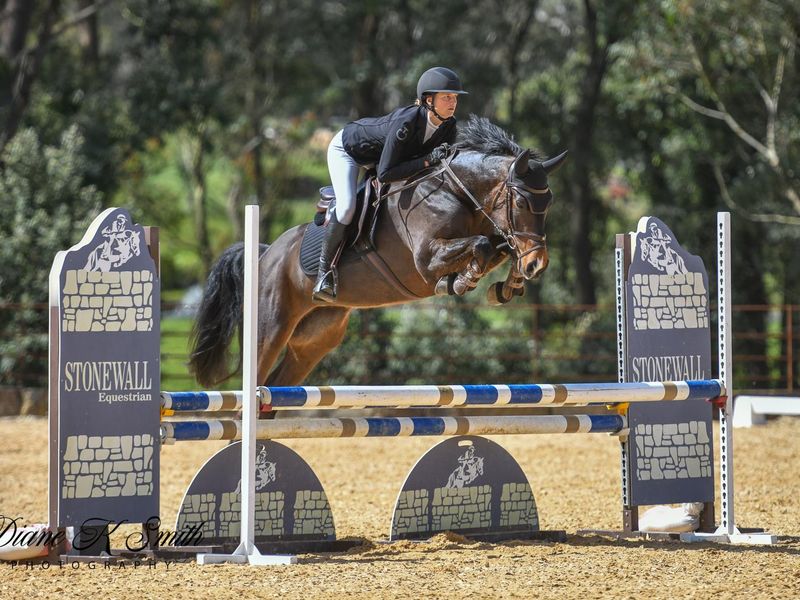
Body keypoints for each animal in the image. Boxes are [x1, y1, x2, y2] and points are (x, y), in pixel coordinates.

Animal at [188, 116, 566, 388]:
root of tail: (265, 255)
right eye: (521, 202)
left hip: (315, 339)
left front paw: (508, 286)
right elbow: (483, 246)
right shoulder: (426, 259)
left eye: (549, 203)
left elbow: (499, 246)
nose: (538, 264)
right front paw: (460, 283)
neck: (455, 191)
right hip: (269, 329)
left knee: (274, 387)